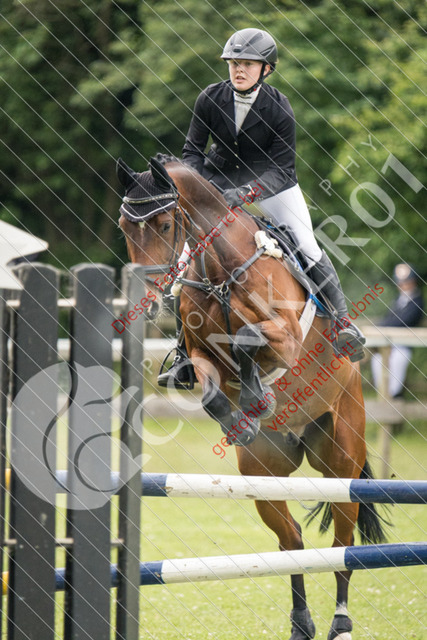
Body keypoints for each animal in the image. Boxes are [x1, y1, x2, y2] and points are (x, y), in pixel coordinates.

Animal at [117, 156, 386, 640]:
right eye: (125, 228)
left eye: (165, 224)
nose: (149, 301)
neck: (222, 272)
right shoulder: (200, 354)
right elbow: (208, 386)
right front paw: (240, 418)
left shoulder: (286, 337)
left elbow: (246, 339)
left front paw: (257, 399)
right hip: (263, 474)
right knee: (293, 541)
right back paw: (301, 623)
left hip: (341, 461)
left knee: (343, 543)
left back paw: (340, 620)